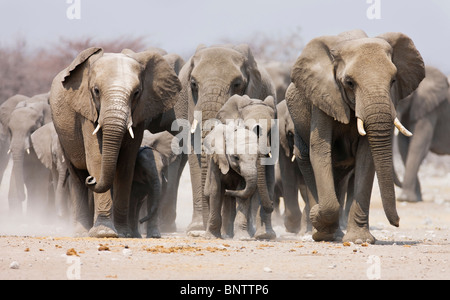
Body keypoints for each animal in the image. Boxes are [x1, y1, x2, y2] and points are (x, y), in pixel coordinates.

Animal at [49, 48, 181, 238]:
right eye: (96, 91)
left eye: (136, 93)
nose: (92, 179)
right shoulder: (87, 110)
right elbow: (96, 158)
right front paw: (103, 233)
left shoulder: (140, 113)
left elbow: (126, 164)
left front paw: (123, 233)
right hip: (63, 138)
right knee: (76, 176)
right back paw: (81, 232)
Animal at [284, 29, 426, 244]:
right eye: (349, 83)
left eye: (393, 80)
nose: (398, 222)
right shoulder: (322, 97)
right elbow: (320, 150)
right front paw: (318, 222)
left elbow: (366, 157)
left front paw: (359, 240)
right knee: (308, 163)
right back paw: (322, 231)